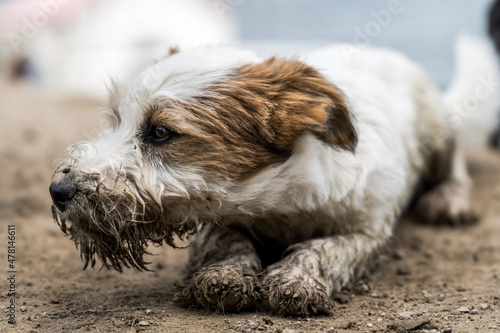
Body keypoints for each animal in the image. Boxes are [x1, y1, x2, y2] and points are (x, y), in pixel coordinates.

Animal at [48, 40, 498, 316]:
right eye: (115, 120)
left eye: (160, 132)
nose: (59, 191)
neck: (278, 205)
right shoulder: (215, 218)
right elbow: (228, 242)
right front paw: (224, 276)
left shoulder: (368, 230)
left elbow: (324, 249)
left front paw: (297, 278)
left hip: (439, 132)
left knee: (455, 169)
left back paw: (449, 199)